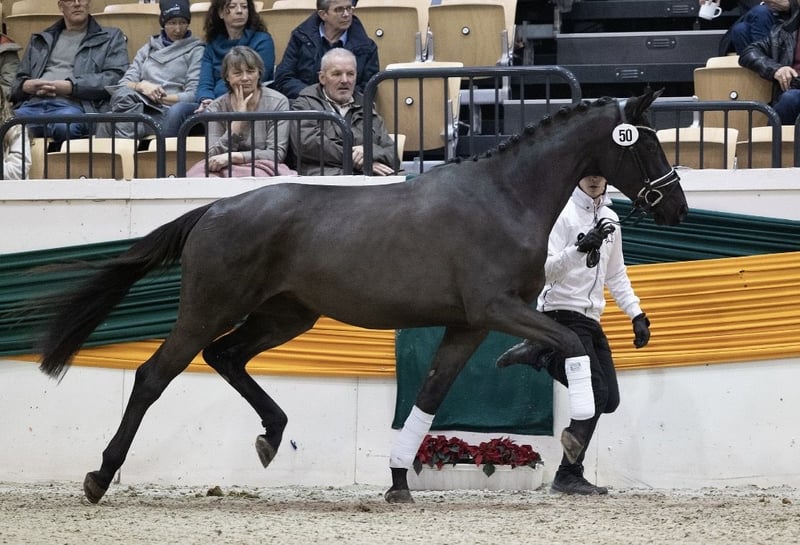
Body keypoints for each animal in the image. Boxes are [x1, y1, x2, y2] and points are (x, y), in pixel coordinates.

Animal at [36, 89, 687, 505]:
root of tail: (215, 209)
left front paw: (398, 483)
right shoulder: (497, 309)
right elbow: (567, 343)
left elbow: (430, 396)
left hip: (285, 316)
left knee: (226, 357)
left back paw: (271, 435)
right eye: (646, 144)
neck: (505, 197)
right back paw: (100, 477)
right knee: (154, 375)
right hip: (209, 309)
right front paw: (574, 432)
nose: (677, 208)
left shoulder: (469, 325)